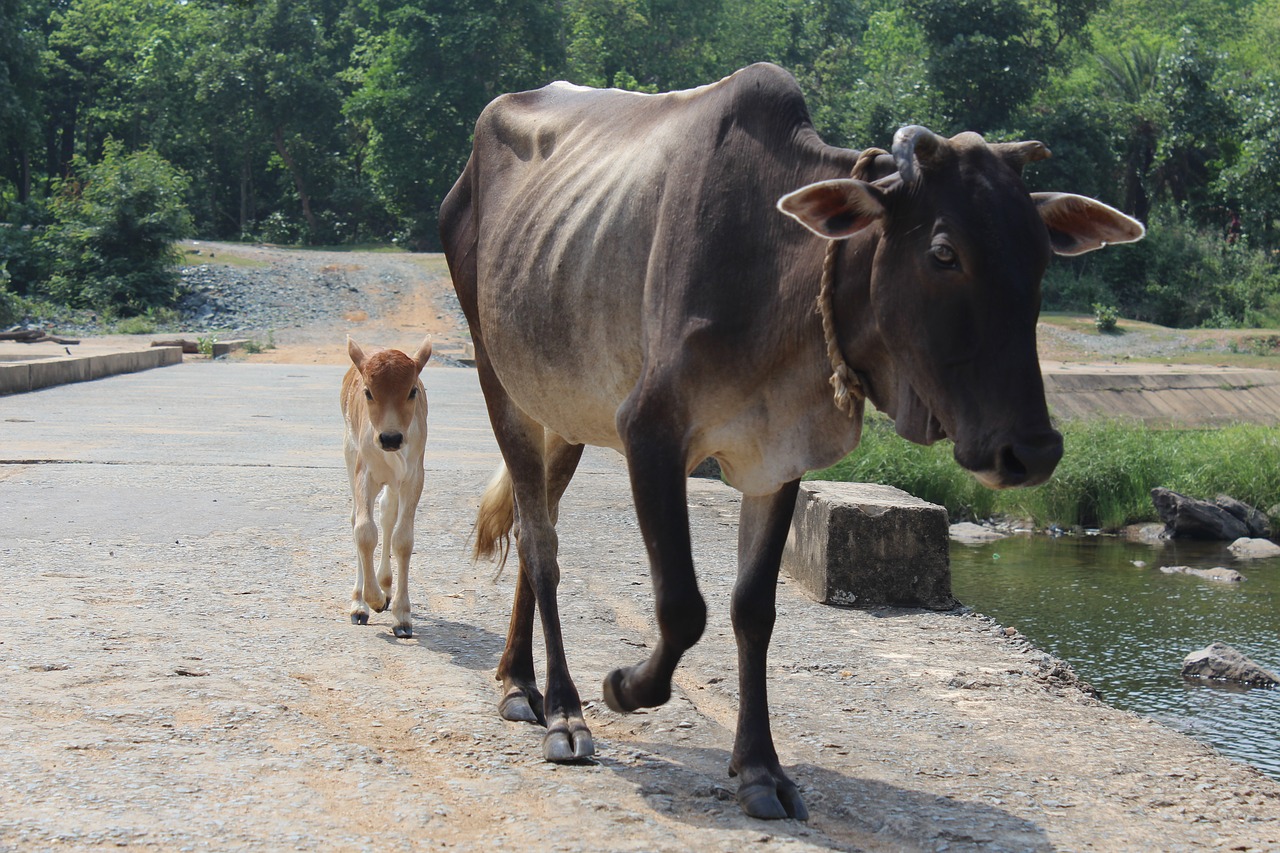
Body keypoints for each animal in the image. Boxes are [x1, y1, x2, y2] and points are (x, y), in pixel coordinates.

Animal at [340, 335, 430, 635]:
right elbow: (364, 531)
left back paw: (387, 586)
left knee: (387, 512)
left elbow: (403, 539)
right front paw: (371, 600)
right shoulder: (363, 471)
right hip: (349, 453)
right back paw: (361, 602)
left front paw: (402, 616)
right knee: (357, 518)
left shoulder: (414, 476)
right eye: (368, 392)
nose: (390, 438)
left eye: (412, 391)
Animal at [437, 61, 1141, 819]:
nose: (1033, 449)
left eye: (1041, 257)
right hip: (500, 381)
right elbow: (682, 606)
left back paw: (519, 678)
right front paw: (624, 686)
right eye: (943, 252)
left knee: (535, 528)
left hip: (563, 411)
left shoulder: (775, 458)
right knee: (541, 545)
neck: (779, 276)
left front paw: (759, 768)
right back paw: (563, 709)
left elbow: (753, 609)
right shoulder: (649, 429)